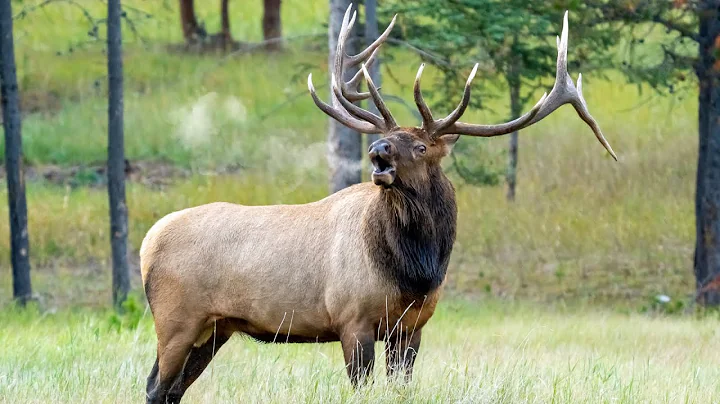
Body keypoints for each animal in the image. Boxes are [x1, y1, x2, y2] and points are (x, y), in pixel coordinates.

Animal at [140, 6, 616, 403]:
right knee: (156, 386)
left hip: (214, 328)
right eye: (391, 138)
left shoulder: (412, 327)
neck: (415, 271)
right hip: (176, 319)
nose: (377, 150)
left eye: (421, 146)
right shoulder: (353, 320)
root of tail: (147, 242)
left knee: (171, 390)